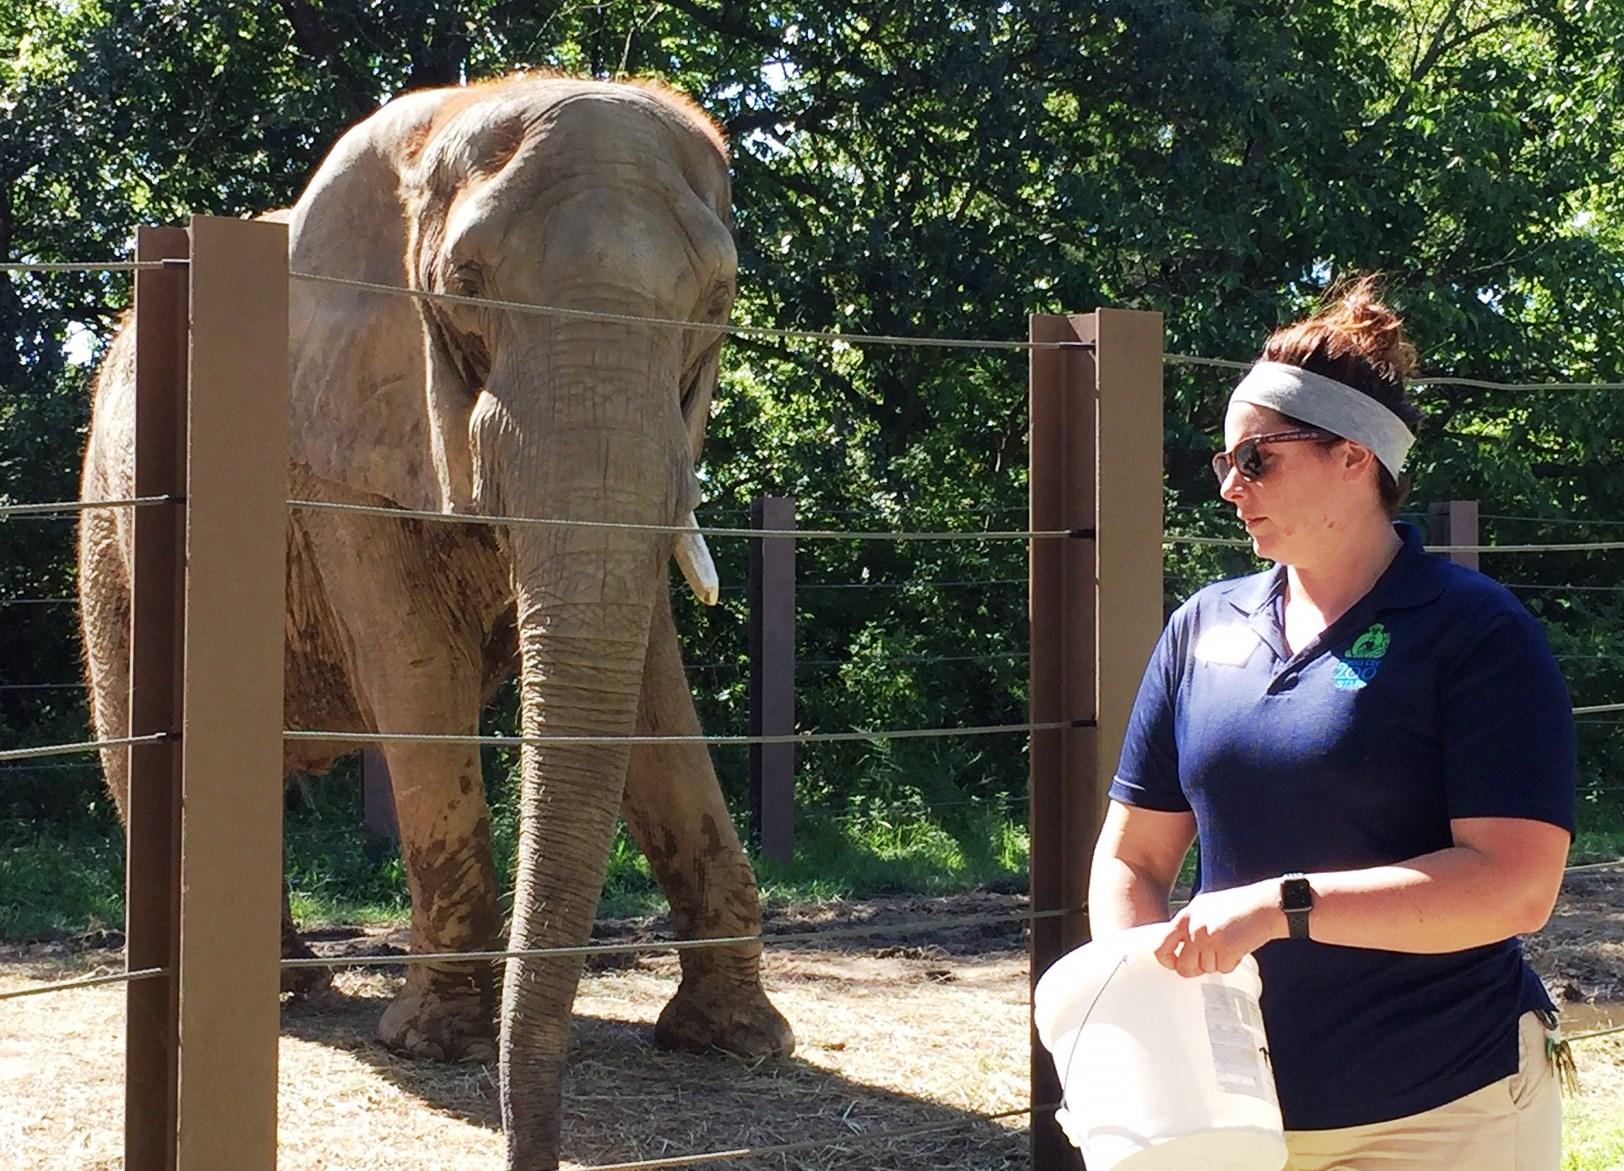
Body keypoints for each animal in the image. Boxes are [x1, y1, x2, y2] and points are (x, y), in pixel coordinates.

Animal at [78, 74, 795, 1168]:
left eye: (715, 302)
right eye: (463, 282)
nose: (526, 1146)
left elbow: (647, 693)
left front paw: (737, 1044)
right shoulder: (335, 451)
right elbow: (418, 675)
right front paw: (434, 1045)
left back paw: (294, 985)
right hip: (112, 526)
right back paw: (267, 994)